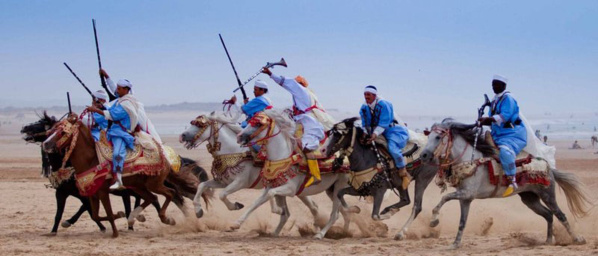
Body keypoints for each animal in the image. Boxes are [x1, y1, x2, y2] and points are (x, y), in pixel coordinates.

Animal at [42, 113, 202, 237]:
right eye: (52, 130)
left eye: (63, 132)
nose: (45, 144)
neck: (91, 160)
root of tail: (165, 157)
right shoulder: (91, 193)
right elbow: (96, 214)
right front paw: (120, 216)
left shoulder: (102, 191)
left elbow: (107, 212)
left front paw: (115, 233)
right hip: (138, 186)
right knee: (154, 198)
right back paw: (139, 217)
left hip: (154, 184)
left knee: (171, 193)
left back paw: (166, 218)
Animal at [180, 112, 324, 226]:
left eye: (200, 125)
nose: (182, 135)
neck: (233, 151)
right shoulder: (223, 182)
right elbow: (202, 185)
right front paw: (198, 211)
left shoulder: (240, 182)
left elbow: (222, 195)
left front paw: (235, 206)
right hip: (298, 189)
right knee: (312, 206)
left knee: (312, 206)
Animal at [234, 109, 356, 238]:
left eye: (258, 124)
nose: (239, 137)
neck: (282, 157)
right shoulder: (272, 185)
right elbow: (257, 202)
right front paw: (237, 223)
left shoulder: (290, 189)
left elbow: (273, 197)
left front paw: (279, 211)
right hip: (331, 190)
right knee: (344, 212)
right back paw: (344, 232)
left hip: (339, 186)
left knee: (335, 215)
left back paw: (320, 234)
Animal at [422, 119, 596, 249]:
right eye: (428, 136)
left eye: (437, 137)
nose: (423, 155)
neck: (471, 161)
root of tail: (549, 168)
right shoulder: (465, 198)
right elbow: (462, 222)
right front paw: (455, 244)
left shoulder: (467, 194)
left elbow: (444, 199)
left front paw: (433, 221)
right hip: (529, 199)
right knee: (548, 214)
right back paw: (547, 241)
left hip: (547, 195)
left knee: (560, 215)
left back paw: (577, 239)